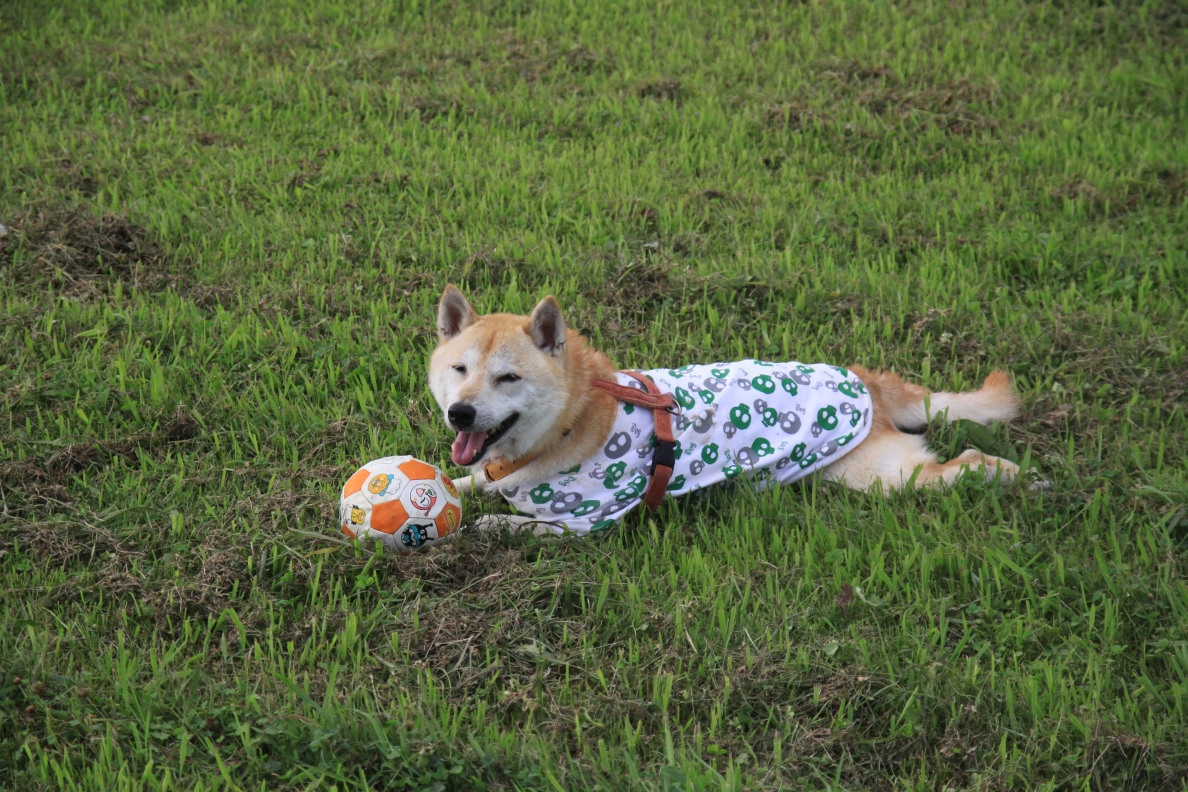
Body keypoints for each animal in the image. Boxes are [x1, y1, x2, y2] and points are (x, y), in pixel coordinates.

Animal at [429, 285, 1021, 535]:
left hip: (876, 474)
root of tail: (867, 382)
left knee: (966, 461)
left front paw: (481, 527)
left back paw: (1009, 476)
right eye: (459, 370)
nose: (461, 414)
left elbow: (510, 525)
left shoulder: (581, 527)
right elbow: (456, 481)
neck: (568, 423)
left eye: (509, 378)